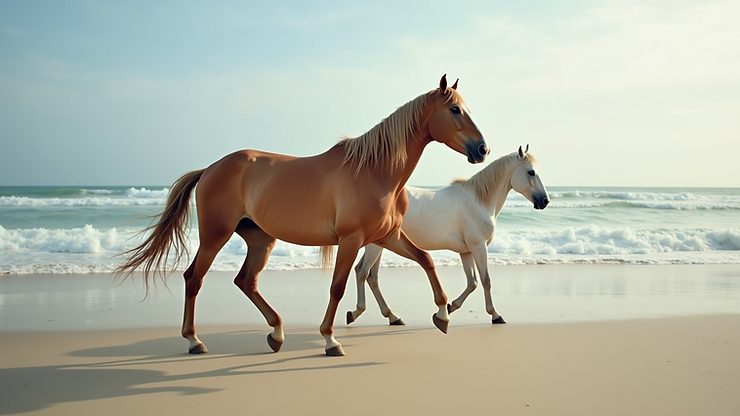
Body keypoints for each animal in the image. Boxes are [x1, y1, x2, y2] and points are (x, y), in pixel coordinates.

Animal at [114, 75, 489, 356]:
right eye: (455, 109)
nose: (482, 149)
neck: (375, 171)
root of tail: (210, 169)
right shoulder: (351, 239)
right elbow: (337, 287)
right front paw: (330, 339)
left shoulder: (388, 236)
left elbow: (426, 260)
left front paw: (442, 315)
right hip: (215, 235)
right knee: (194, 278)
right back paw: (195, 340)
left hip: (260, 238)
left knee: (246, 281)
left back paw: (277, 333)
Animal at [347, 145, 549, 327]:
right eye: (531, 172)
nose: (545, 201)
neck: (479, 201)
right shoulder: (479, 247)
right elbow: (485, 281)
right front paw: (495, 315)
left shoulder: (466, 252)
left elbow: (472, 283)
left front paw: (450, 308)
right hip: (375, 246)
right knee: (363, 272)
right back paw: (360, 313)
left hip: (380, 244)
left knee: (370, 276)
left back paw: (391, 317)